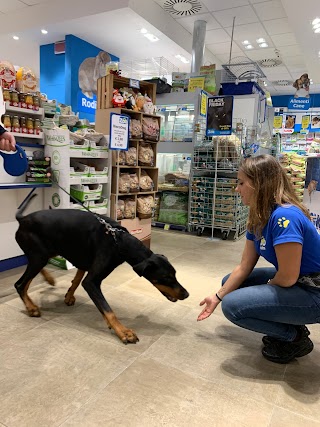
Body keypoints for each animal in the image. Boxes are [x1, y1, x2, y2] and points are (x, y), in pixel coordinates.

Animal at [15, 194, 189, 344]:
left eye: (175, 274)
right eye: (166, 277)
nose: (186, 294)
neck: (119, 241)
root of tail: (22, 219)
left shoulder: (84, 260)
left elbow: (77, 280)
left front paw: (69, 295)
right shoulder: (92, 281)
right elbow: (107, 309)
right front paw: (123, 332)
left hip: (46, 251)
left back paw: (49, 280)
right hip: (40, 255)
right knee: (20, 284)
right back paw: (31, 307)